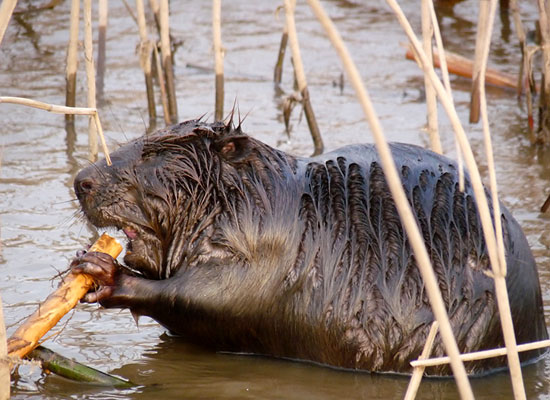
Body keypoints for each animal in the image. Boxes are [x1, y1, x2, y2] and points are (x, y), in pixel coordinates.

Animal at [72, 119, 548, 376]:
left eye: (152, 153)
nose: (81, 180)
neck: (261, 199)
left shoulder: (268, 249)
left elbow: (218, 297)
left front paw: (103, 272)